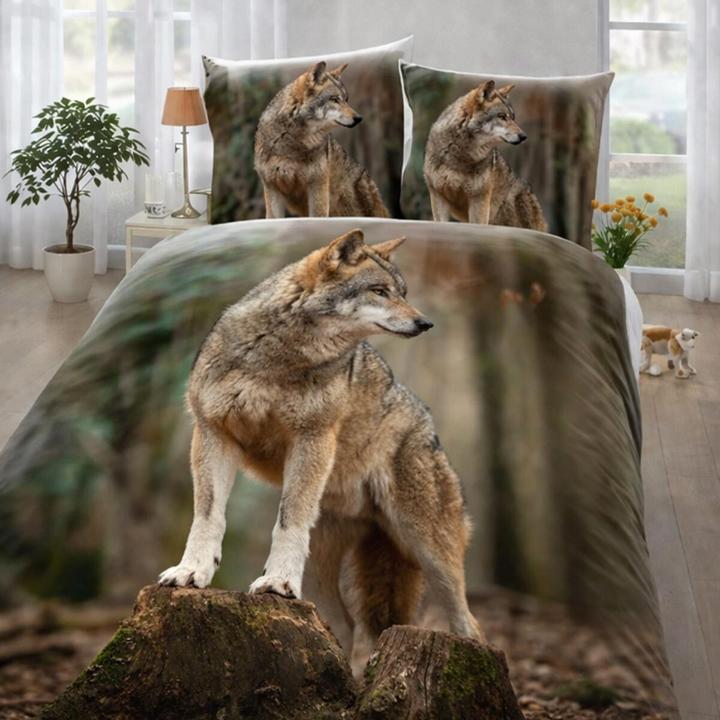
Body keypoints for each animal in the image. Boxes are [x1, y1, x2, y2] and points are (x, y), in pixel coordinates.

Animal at [159, 229, 482, 667]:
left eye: (402, 292)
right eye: (380, 291)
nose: (425, 322)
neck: (277, 357)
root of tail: (428, 426)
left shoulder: (312, 437)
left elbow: (289, 517)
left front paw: (277, 582)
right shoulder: (213, 432)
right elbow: (208, 516)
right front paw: (191, 573)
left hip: (429, 551)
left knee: (469, 624)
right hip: (330, 571)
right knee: (345, 627)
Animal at [254, 62, 390, 219]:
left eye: (346, 100)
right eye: (335, 99)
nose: (359, 118)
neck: (290, 143)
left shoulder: (318, 185)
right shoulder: (271, 187)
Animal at [424, 80, 547, 231]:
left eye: (513, 118)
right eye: (502, 116)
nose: (524, 136)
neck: (460, 154)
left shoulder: (479, 199)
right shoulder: (438, 197)